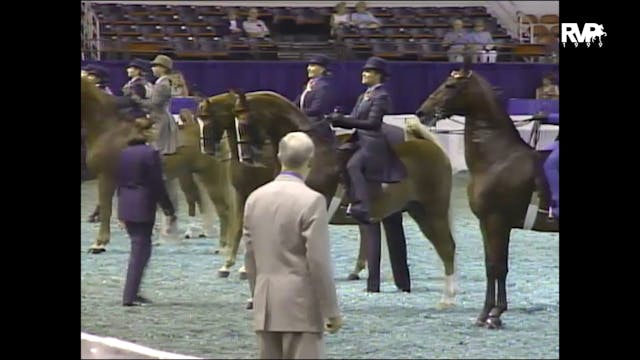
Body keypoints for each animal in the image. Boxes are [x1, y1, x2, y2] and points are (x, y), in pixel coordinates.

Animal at [80, 77, 240, 255]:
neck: (109, 129)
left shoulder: (106, 177)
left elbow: (106, 209)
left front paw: (99, 244)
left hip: (210, 175)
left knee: (223, 209)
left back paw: (224, 247)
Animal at [200, 90, 460, 306]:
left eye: (244, 120)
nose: (247, 157)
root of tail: (431, 147)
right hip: (416, 211)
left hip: (432, 211)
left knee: (447, 247)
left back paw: (447, 298)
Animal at [416, 62, 556, 330]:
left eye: (450, 86)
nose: (421, 112)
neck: (498, 159)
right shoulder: (490, 224)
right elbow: (493, 265)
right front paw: (489, 314)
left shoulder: (495, 221)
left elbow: (497, 267)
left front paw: (493, 315)